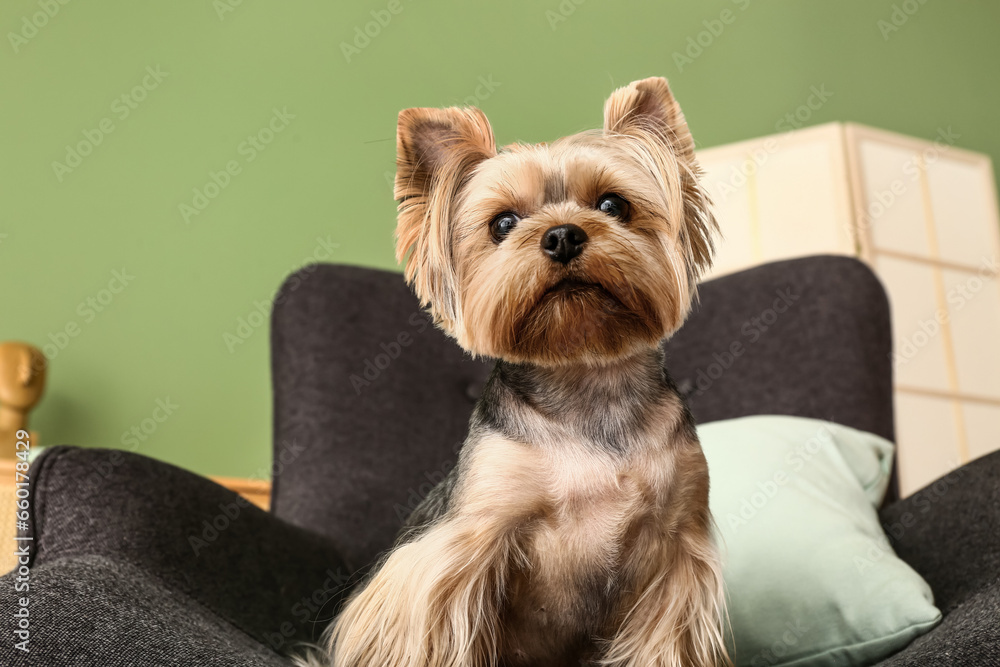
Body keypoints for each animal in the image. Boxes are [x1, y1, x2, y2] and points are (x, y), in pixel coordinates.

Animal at [312, 75, 728, 664]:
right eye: (503, 223)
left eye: (613, 204)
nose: (562, 235)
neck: (584, 379)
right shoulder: (466, 541)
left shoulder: (677, 551)